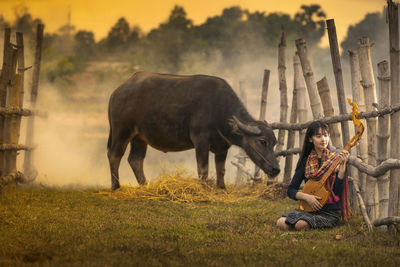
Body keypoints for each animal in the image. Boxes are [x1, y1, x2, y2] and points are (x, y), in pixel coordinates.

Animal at [108, 71, 280, 191]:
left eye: (274, 142)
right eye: (262, 141)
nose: (276, 169)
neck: (219, 109)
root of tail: (117, 92)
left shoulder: (222, 146)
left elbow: (221, 169)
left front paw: (221, 188)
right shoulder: (201, 141)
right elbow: (203, 169)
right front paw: (204, 188)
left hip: (139, 137)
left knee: (135, 159)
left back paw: (145, 185)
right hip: (121, 130)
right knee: (114, 155)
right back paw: (116, 186)